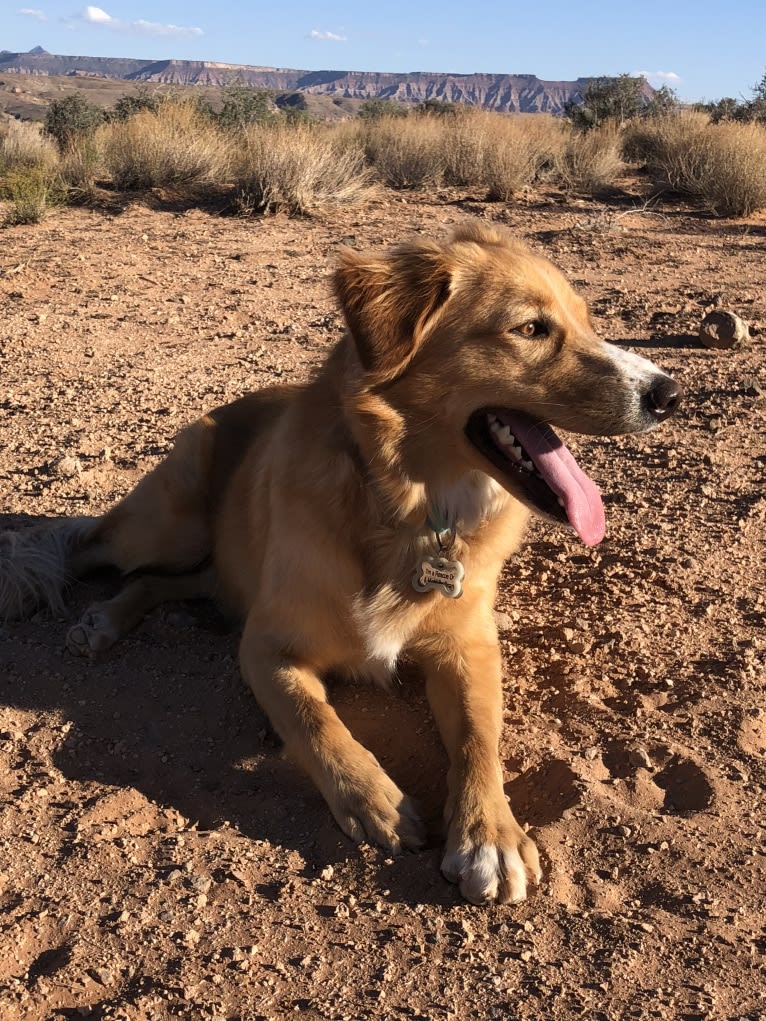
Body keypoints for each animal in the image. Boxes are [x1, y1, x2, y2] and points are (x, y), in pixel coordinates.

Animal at [0, 221, 682, 902]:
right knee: (88, 547)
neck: (405, 506)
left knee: (165, 582)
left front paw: (491, 834)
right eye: (532, 328)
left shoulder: (469, 646)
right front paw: (376, 801)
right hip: (169, 522)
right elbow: (316, 721)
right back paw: (85, 614)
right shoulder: (266, 647)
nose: (669, 393)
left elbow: (480, 738)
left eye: (588, 321)